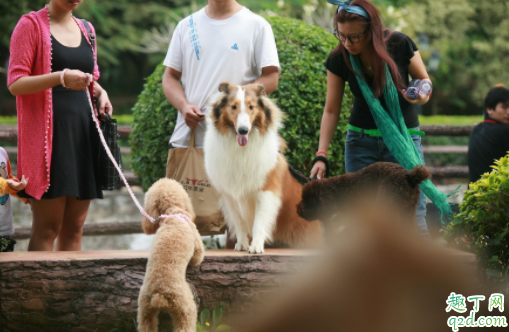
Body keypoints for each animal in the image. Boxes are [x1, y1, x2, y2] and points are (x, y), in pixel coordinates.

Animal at [203, 81, 320, 253]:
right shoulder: (229, 195)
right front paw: (242, 244)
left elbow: (259, 222)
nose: (243, 130)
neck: (241, 150)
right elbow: (239, 223)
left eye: (251, 107)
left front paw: (256, 246)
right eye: (233, 106)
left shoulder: (266, 192)